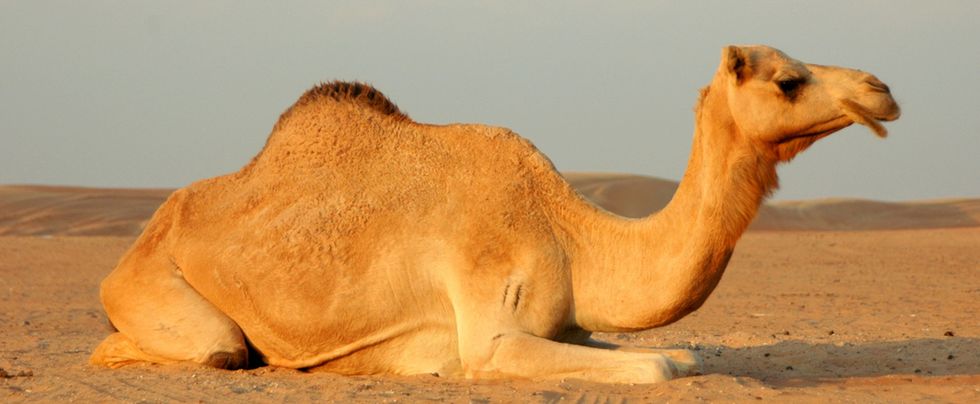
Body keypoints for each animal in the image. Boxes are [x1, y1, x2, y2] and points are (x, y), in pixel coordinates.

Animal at [91, 45, 900, 383]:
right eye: (788, 80)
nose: (882, 89)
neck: (572, 234)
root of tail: (145, 234)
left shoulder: (571, 325)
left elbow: (683, 355)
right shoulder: (491, 330)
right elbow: (661, 364)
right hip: (147, 286)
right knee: (204, 349)